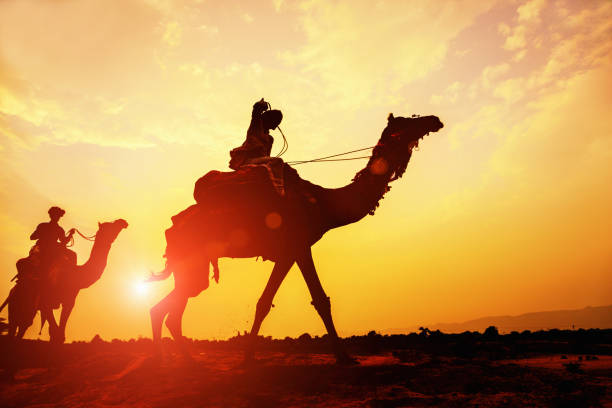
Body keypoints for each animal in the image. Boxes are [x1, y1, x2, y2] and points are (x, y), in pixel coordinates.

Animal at [0, 218, 128, 342]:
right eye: (109, 225)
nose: (123, 222)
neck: (74, 274)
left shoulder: (69, 301)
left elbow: (59, 333)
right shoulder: (45, 300)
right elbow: (55, 333)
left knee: (22, 326)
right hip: (17, 303)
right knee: (16, 325)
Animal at [150, 112, 442, 364]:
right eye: (407, 122)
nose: (435, 120)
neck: (324, 203)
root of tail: (171, 229)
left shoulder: (290, 251)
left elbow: (268, 302)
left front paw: (249, 356)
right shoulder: (299, 244)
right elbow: (315, 300)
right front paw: (344, 357)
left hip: (190, 267)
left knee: (164, 309)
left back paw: (173, 361)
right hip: (192, 262)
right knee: (171, 310)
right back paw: (182, 363)